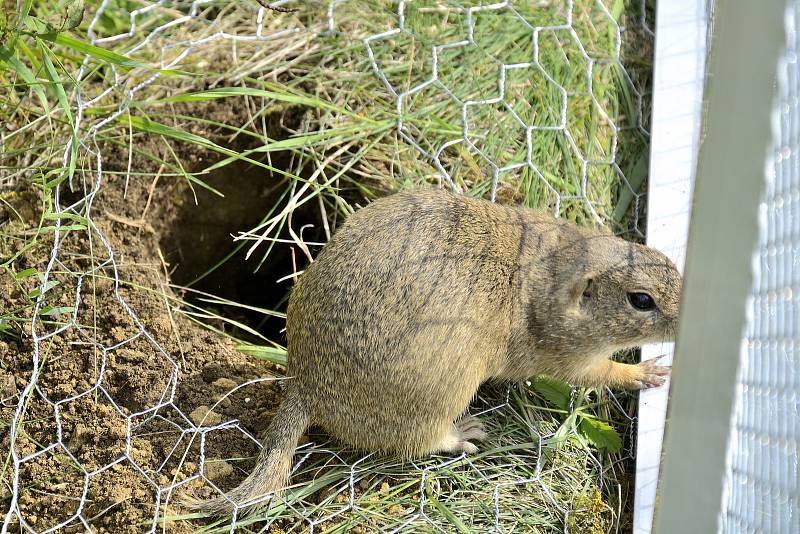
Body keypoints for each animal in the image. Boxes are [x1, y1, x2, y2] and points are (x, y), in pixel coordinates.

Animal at [189, 188, 680, 516]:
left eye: (667, 261)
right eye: (641, 300)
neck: (551, 269)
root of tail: (304, 385)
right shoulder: (565, 352)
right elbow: (597, 373)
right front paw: (646, 372)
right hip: (443, 394)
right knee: (419, 442)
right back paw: (464, 433)